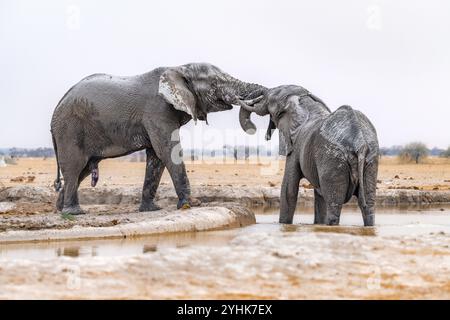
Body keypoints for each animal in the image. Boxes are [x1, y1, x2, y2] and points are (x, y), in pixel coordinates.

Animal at [241, 84, 378, 225]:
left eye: (270, 100)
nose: (253, 127)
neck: (305, 100)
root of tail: (360, 143)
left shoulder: (296, 146)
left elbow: (289, 190)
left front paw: (283, 225)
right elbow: (319, 193)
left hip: (333, 158)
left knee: (334, 205)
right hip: (370, 158)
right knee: (368, 205)